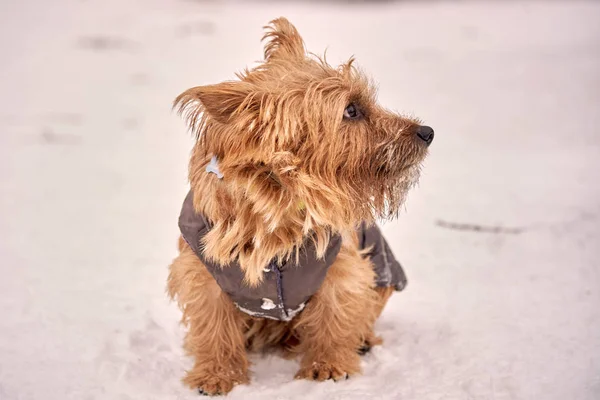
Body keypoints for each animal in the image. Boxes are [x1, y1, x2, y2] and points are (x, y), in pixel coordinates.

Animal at [166, 18, 434, 394]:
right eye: (351, 110)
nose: (427, 132)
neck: (280, 199)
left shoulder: (341, 266)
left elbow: (335, 316)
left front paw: (329, 366)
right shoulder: (204, 272)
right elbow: (214, 326)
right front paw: (218, 374)